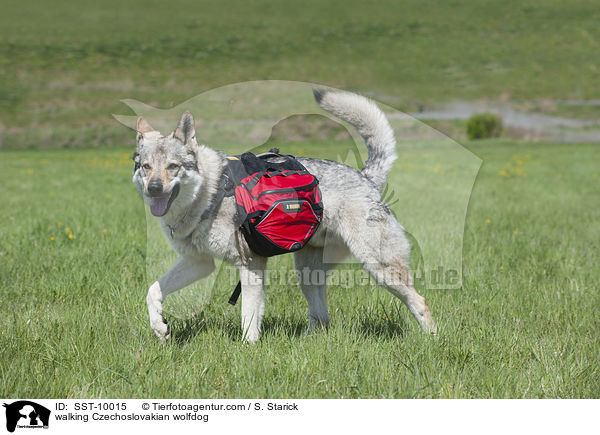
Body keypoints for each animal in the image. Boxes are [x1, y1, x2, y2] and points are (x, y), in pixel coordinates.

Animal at [132, 90, 436, 342]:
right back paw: (306, 342)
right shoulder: (199, 262)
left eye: (173, 167)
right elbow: (152, 291)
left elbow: (248, 320)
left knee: (420, 302)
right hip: (308, 274)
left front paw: (247, 351)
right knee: (321, 318)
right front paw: (160, 327)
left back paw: (432, 340)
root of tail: (366, 177)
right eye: (146, 167)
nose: (154, 188)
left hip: (378, 268)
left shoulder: (250, 264)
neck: (211, 192)